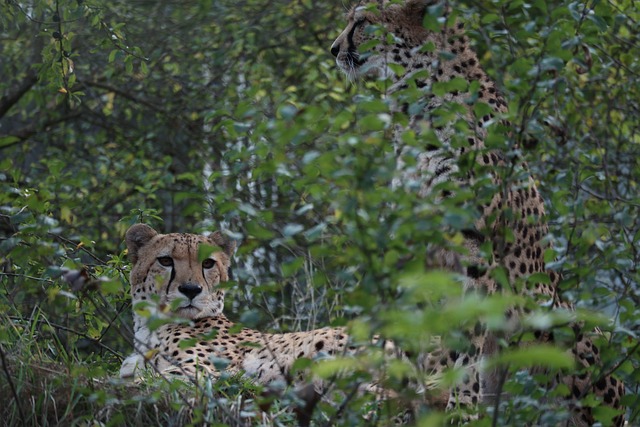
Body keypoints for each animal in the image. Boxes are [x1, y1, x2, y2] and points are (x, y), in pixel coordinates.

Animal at [330, 0, 624, 424]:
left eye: (362, 21)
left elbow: (466, 336)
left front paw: (460, 406)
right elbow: (417, 334)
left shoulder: (476, 250)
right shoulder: (418, 243)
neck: (420, 100)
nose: (333, 50)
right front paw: (410, 399)